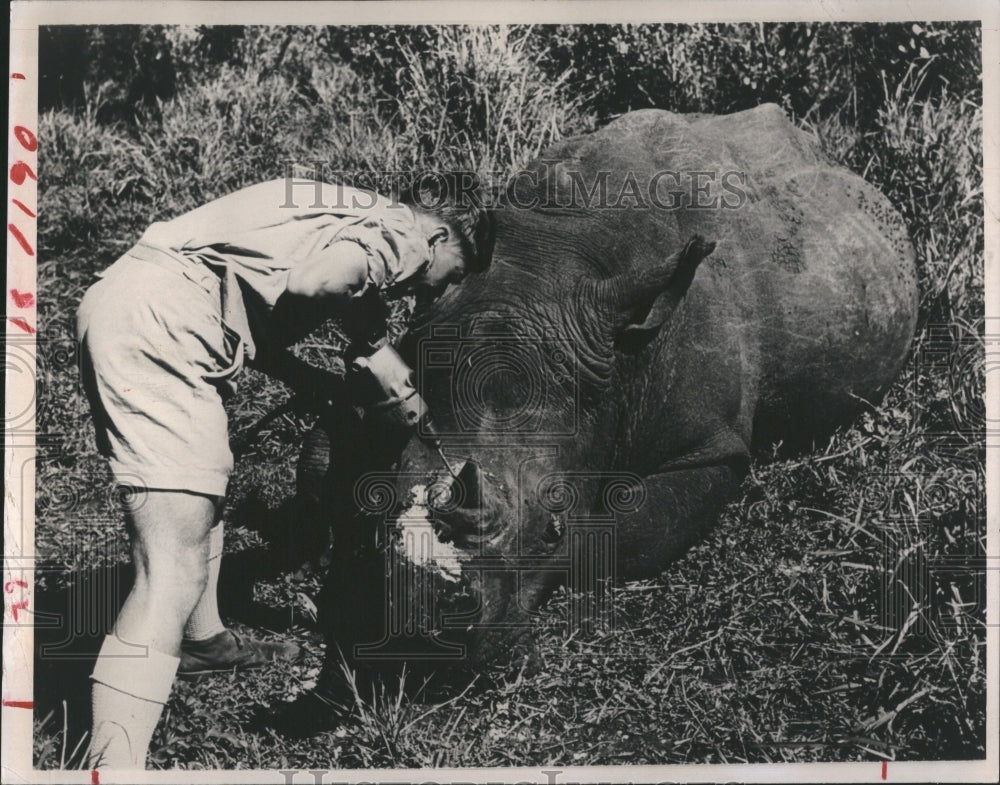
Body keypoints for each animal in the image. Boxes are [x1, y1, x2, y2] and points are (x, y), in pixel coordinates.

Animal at [305, 104, 918, 671]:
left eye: (552, 531)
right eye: (380, 505)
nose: (424, 635)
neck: (539, 269)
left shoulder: (706, 448)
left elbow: (624, 536)